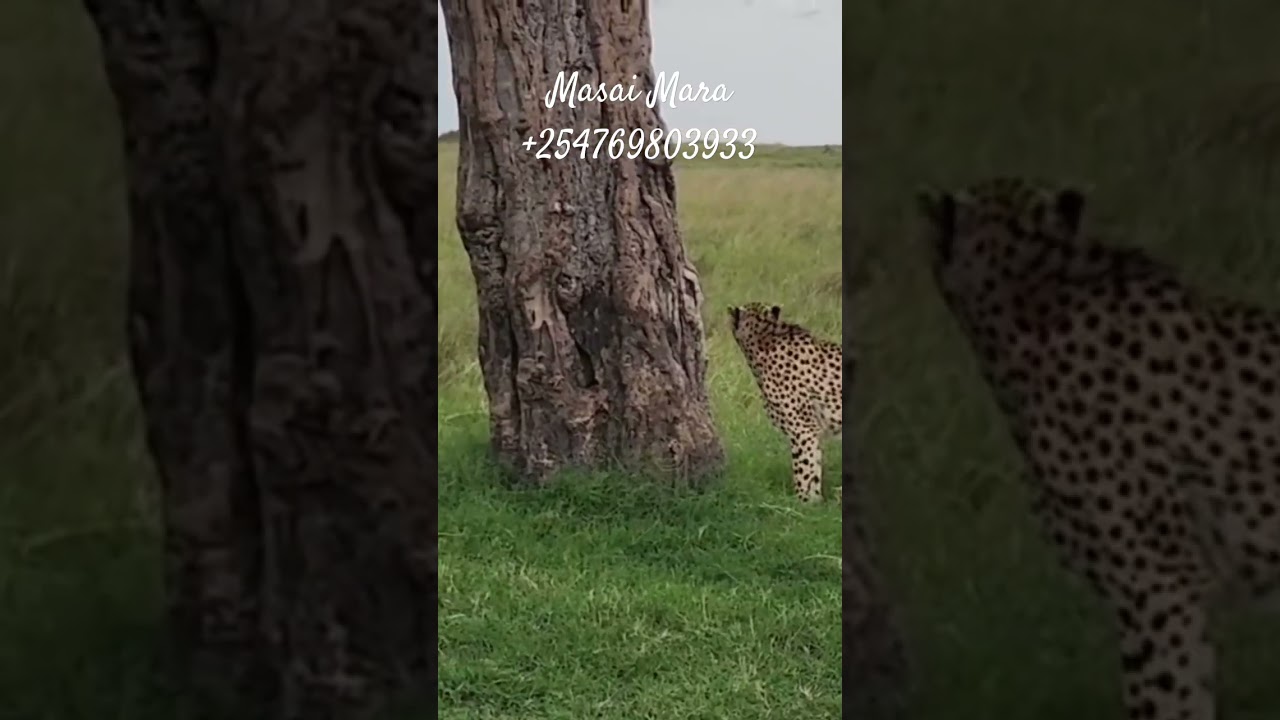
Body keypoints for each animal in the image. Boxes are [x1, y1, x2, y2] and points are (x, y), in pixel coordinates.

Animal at [728, 302, 842, 502]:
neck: (766, 336)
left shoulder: (803, 431)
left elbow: (804, 471)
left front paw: (802, 502)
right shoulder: (812, 432)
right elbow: (814, 470)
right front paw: (815, 503)